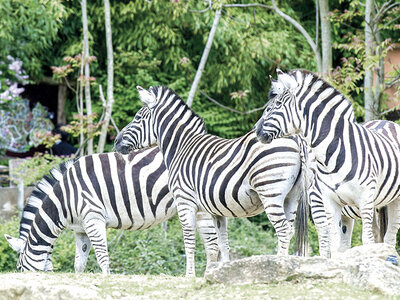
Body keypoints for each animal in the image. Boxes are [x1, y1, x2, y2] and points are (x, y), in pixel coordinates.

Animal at [4, 149, 228, 274]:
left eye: (18, 269)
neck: (64, 199)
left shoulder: (93, 219)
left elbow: (102, 258)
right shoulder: (81, 229)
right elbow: (79, 264)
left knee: (211, 244)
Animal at [114, 84, 308, 276]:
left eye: (138, 117)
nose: (115, 141)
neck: (181, 146)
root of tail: (295, 138)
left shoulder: (184, 202)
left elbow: (190, 242)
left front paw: (190, 276)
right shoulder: (216, 210)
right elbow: (223, 243)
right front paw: (224, 271)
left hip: (270, 192)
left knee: (283, 229)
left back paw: (280, 265)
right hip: (292, 197)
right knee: (289, 229)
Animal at [256, 69, 400, 256]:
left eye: (278, 104)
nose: (257, 131)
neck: (333, 154)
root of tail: (387, 122)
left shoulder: (364, 198)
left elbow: (364, 241)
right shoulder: (328, 201)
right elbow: (334, 245)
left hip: (391, 200)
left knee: (389, 237)